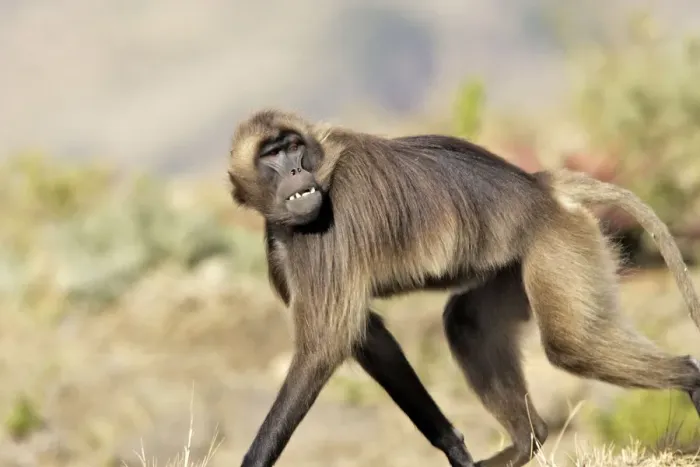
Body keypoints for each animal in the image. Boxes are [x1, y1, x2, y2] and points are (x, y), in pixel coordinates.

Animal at [226, 109, 700, 467]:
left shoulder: (329, 229)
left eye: (293, 147)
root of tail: (540, 185)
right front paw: (453, 447)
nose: (295, 169)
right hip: (514, 263)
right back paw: (525, 440)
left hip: (556, 242)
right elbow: (370, 336)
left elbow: (327, 343)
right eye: (272, 154)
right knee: (467, 324)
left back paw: (691, 378)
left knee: (572, 345)